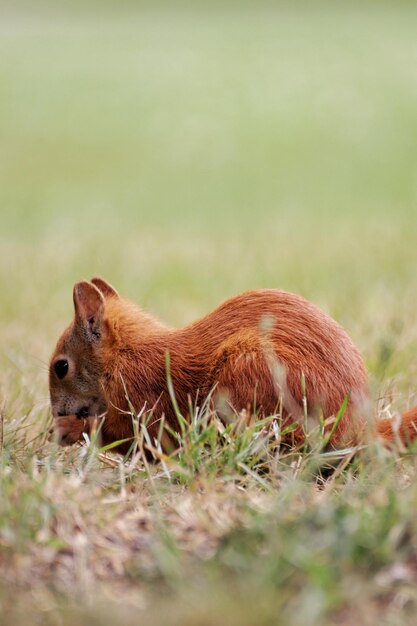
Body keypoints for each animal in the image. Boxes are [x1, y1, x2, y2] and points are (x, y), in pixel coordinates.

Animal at [48, 276, 416, 450]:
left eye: (61, 367)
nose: (56, 411)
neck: (125, 354)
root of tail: (356, 425)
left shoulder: (141, 395)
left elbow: (137, 437)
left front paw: (70, 429)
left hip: (249, 373)